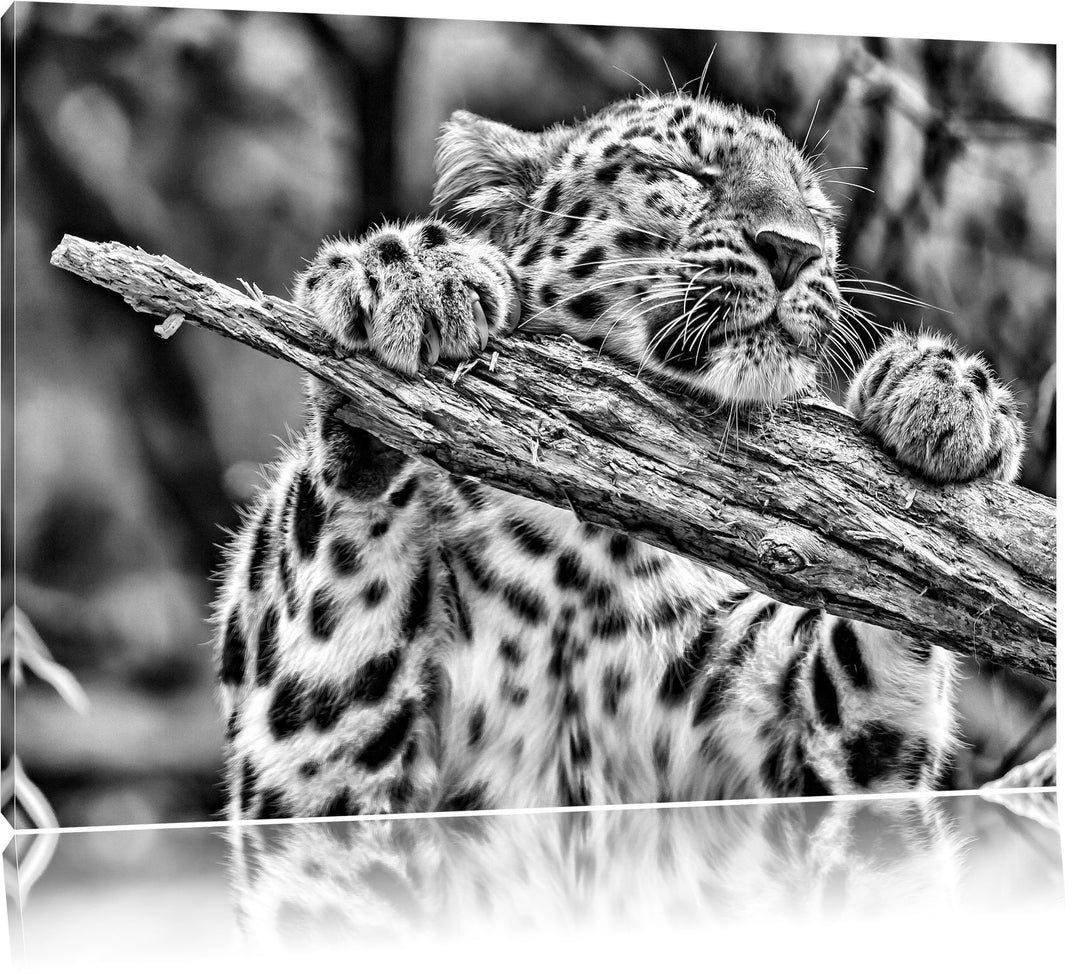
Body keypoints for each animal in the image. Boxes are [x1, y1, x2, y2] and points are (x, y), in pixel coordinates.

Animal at [212, 91, 1024, 822]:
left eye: (817, 210)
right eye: (685, 172)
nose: (795, 249)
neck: (590, 556)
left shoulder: (810, 756)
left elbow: (883, 625)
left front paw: (946, 395)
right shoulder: (314, 761)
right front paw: (407, 276)